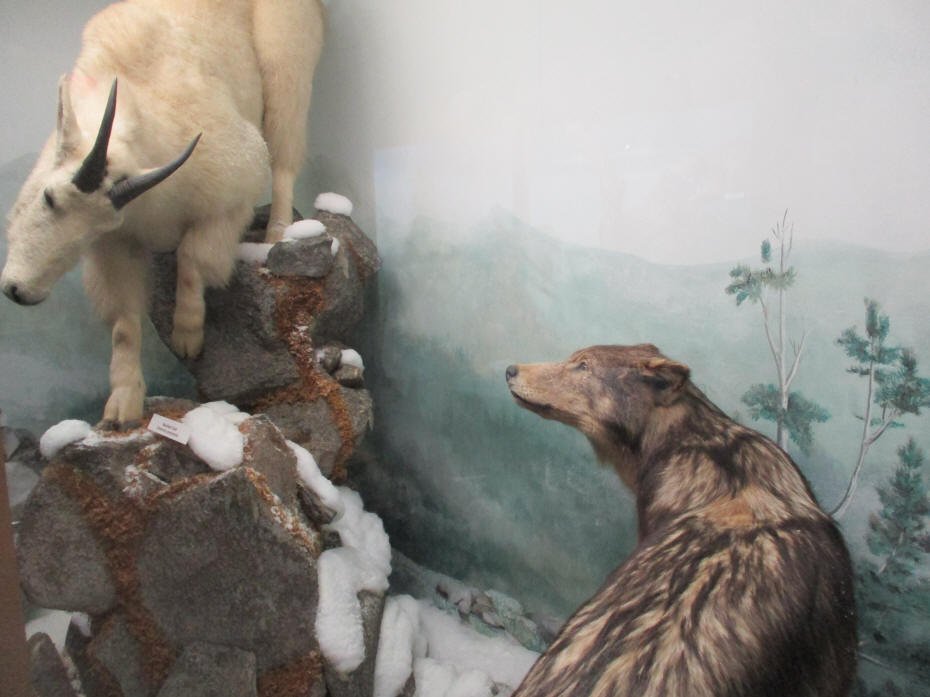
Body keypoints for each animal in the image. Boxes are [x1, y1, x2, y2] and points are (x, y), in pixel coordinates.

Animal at [1, 0, 324, 425]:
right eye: (49, 198)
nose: (17, 291)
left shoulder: (228, 198)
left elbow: (192, 258)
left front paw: (187, 337)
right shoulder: (117, 244)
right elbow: (124, 324)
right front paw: (122, 406)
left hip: (286, 55)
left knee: (285, 153)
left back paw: (276, 235)